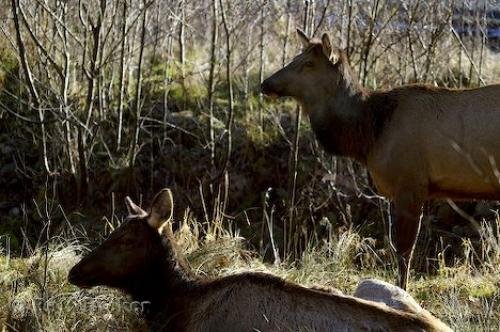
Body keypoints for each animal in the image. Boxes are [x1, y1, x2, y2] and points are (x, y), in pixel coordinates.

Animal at [260, 29, 500, 290]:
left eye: (308, 64)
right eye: (295, 57)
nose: (265, 83)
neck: (368, 136)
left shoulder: (410, 182)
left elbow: (404, 250)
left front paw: (402, 291)